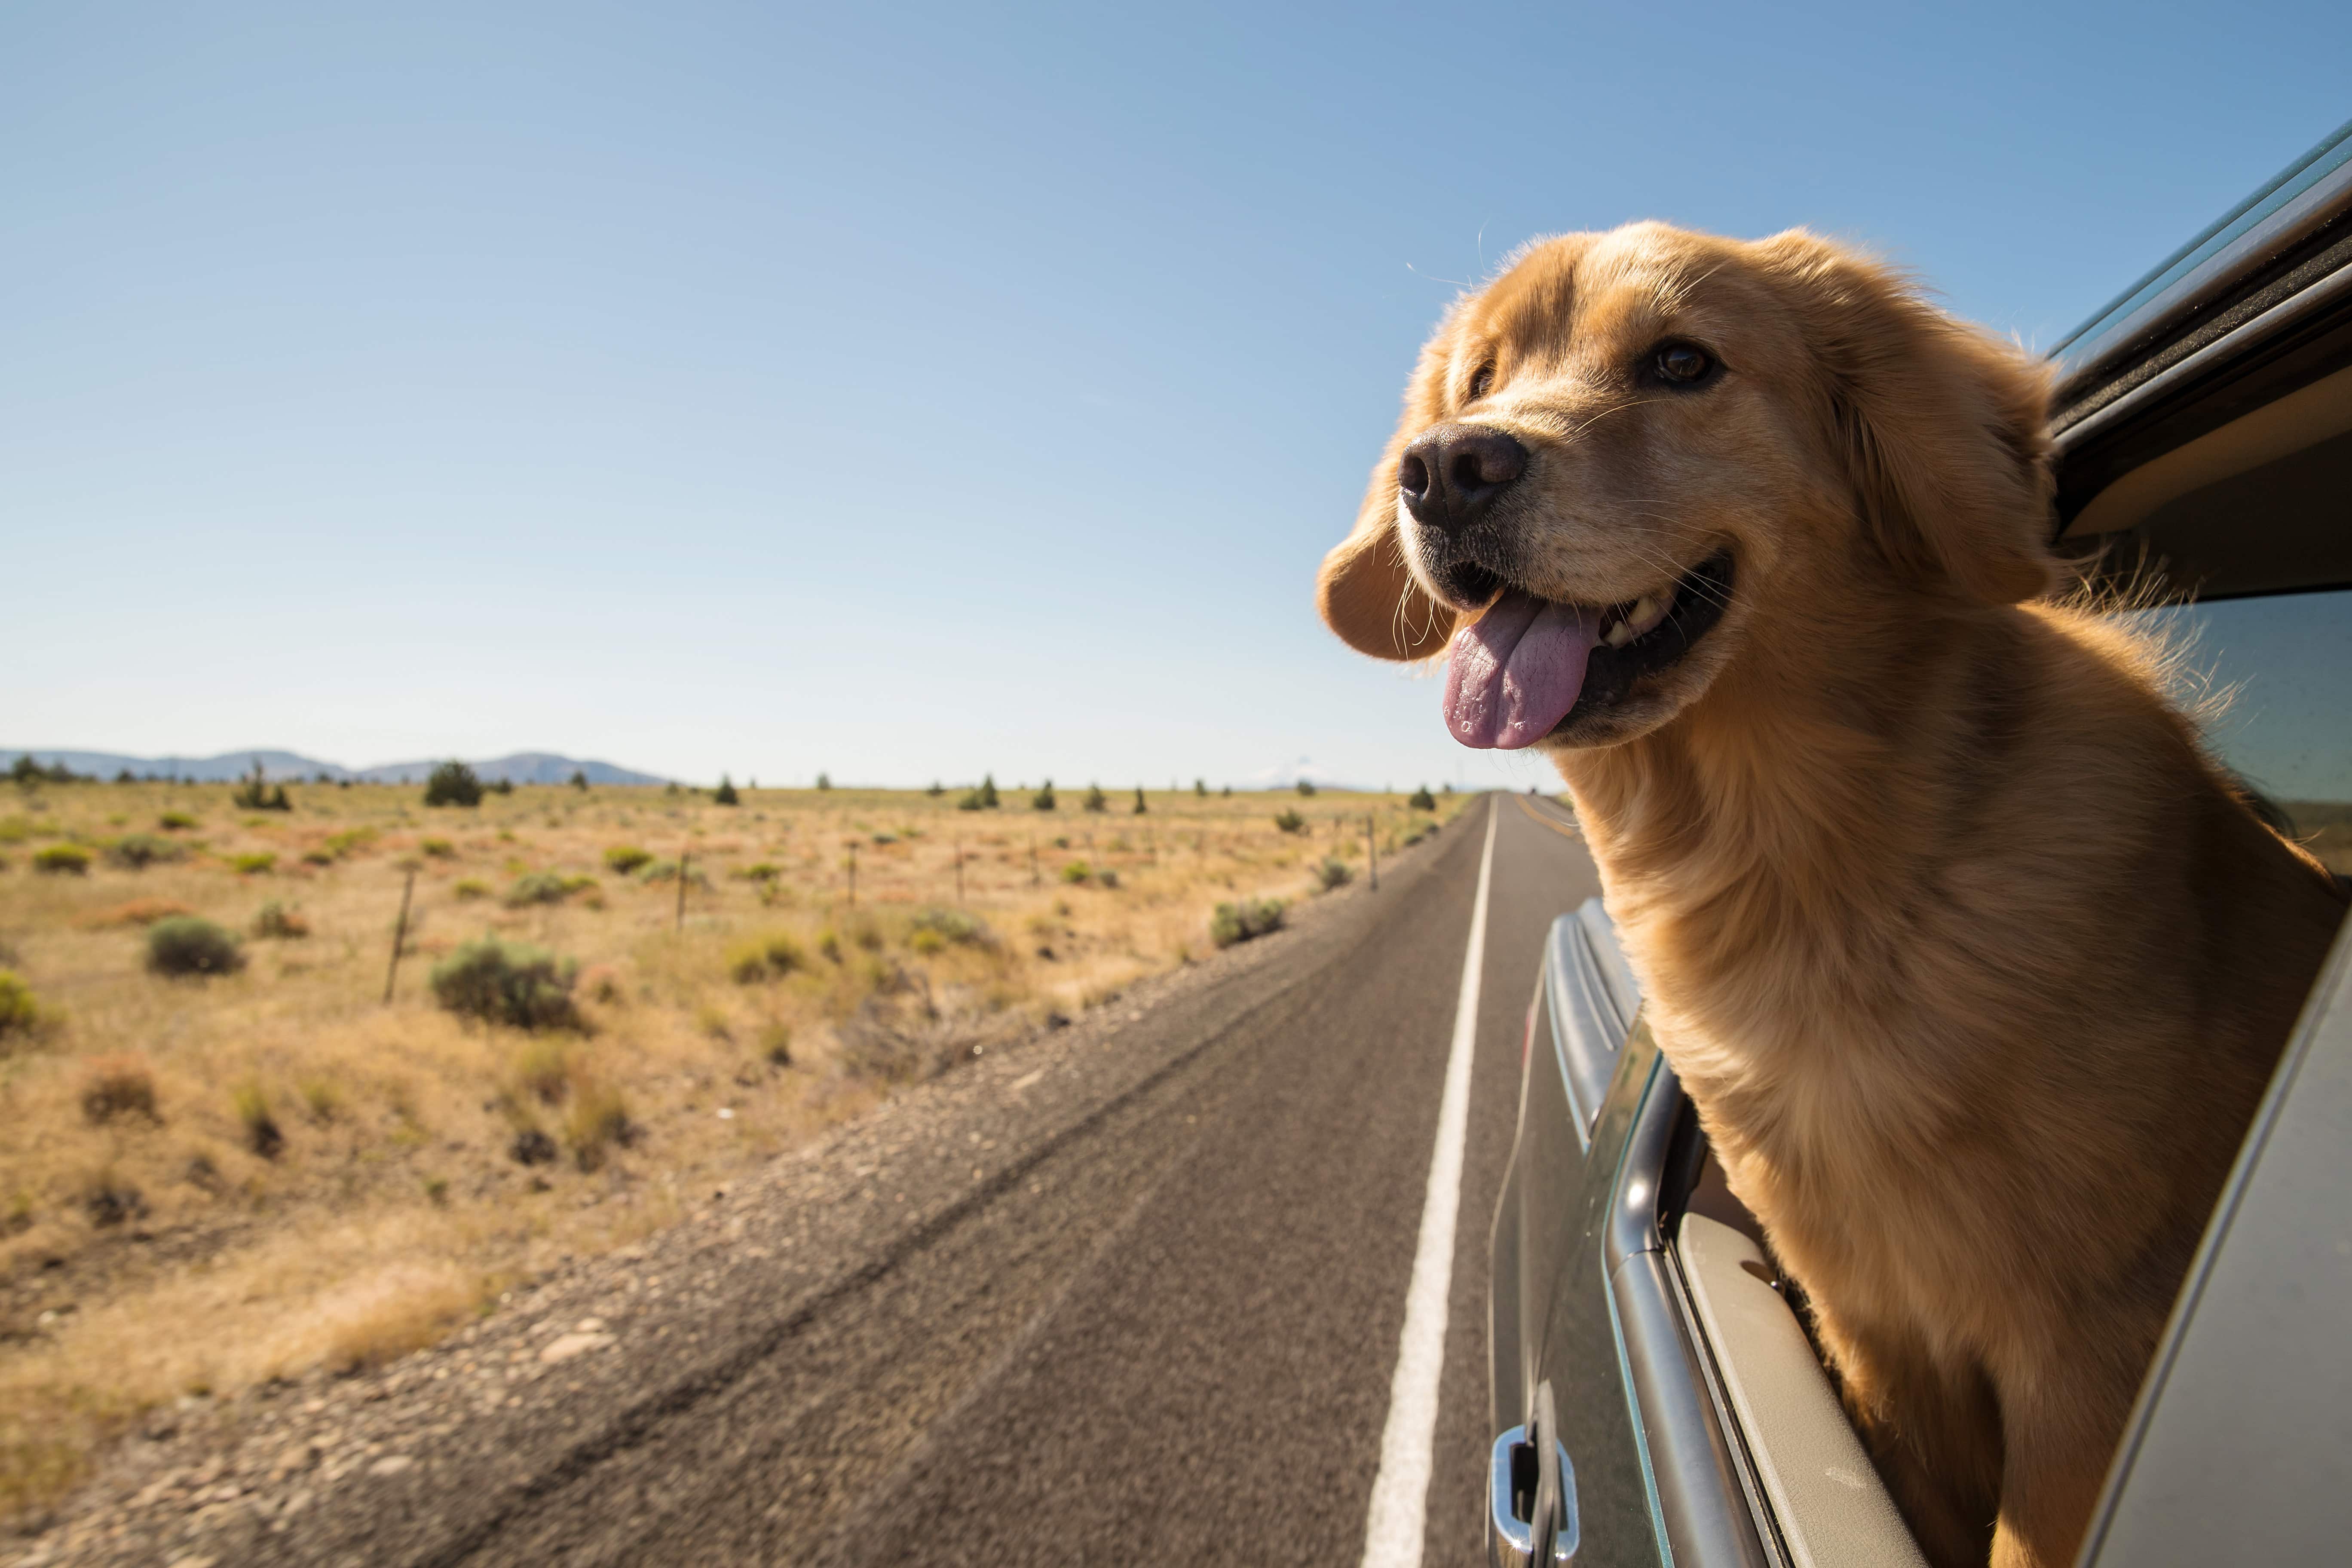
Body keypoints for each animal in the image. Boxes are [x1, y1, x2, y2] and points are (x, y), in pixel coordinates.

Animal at [1326, 223, 2352, 1568]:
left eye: (1681, 362)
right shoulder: (1876, 1335)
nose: (1444, 469)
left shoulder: (2083, 1363)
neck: (1803, 882)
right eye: (1481, 379)